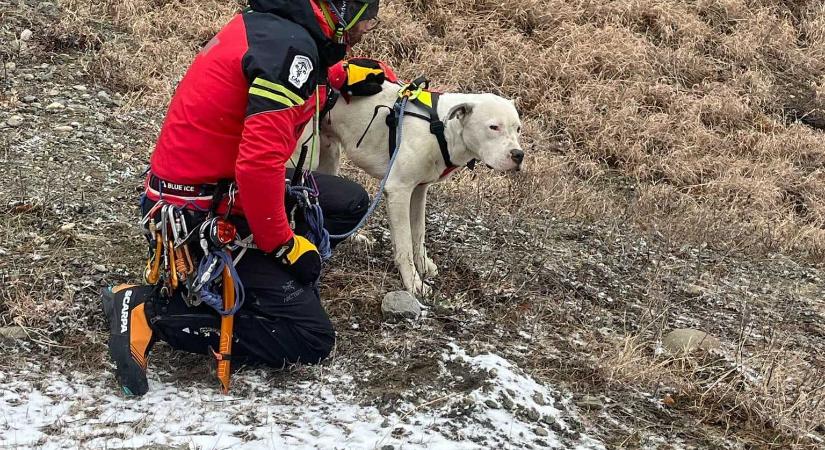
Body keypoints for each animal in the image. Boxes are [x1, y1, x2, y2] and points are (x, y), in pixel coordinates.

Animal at [292, 82, 520, 298]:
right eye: (493, 127)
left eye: (518, 128)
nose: (519, 155)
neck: (440, 129)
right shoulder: (398, 192)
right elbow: (405, 245)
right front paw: (413, 283)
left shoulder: (419, 191)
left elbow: (418, 235)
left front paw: (424, 266)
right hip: (306, 158)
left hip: (329, 155)